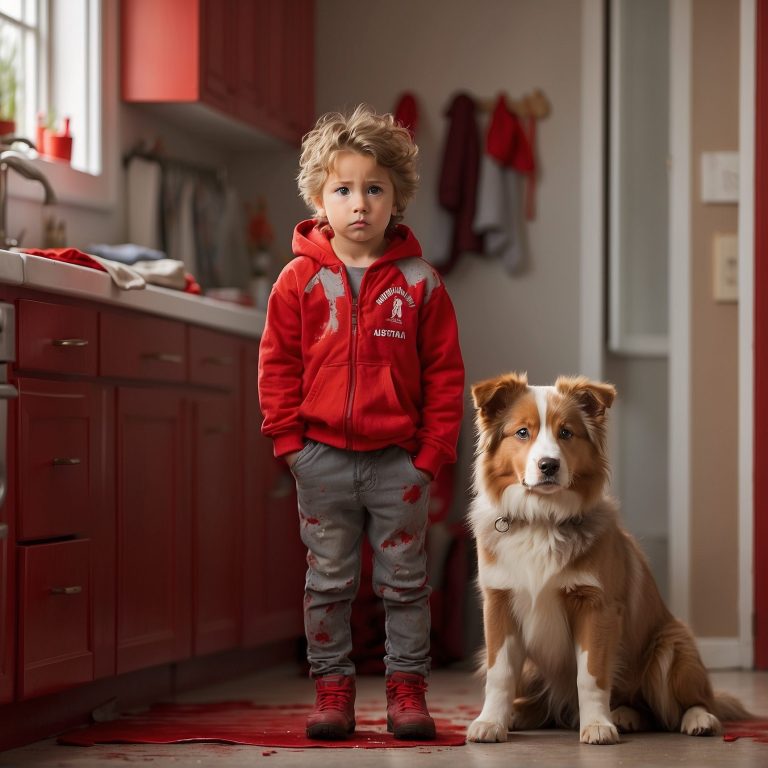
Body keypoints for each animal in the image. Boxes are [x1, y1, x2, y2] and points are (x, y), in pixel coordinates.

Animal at [464, 372, 748, 744]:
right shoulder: (499, 603)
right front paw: (491, 722)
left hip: (671, 645)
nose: (549, 465)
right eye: (522, 432)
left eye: (566, 433)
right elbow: (499, 674)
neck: (542, 519)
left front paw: (598, 725)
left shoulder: (596, 606)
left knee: (688, 703)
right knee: (548, 706)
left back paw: (690, 719)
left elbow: (591, 675)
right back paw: (523, 712)